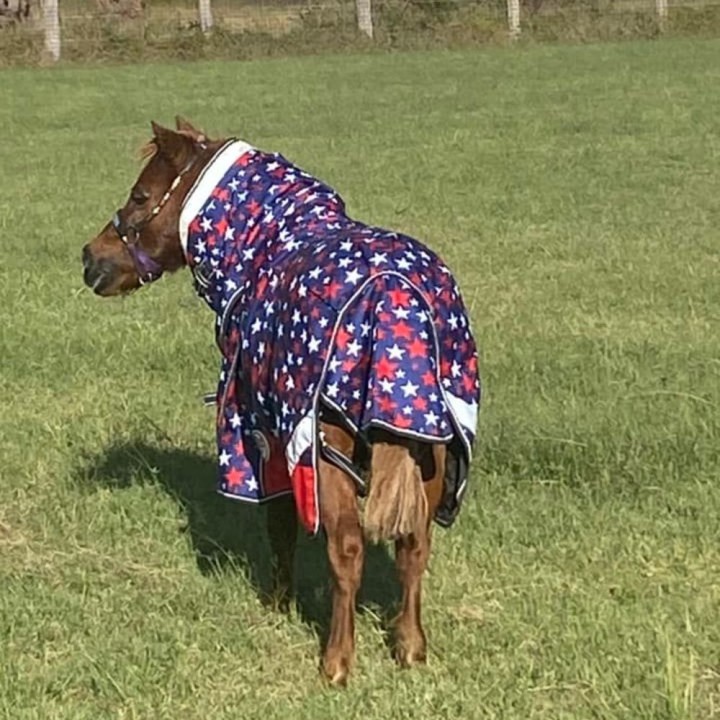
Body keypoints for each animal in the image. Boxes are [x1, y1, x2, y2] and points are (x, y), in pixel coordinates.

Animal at [81, 117, 481, 686]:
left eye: (140, 196)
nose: (90, 257)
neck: (269, 243)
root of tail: (396, 295)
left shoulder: (265, 432)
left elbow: (281, 523)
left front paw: (278, 601)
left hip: (329, 455)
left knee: (347, 547)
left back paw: (337, 660)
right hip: (431, 446)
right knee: (413, 545)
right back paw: (410, 646)